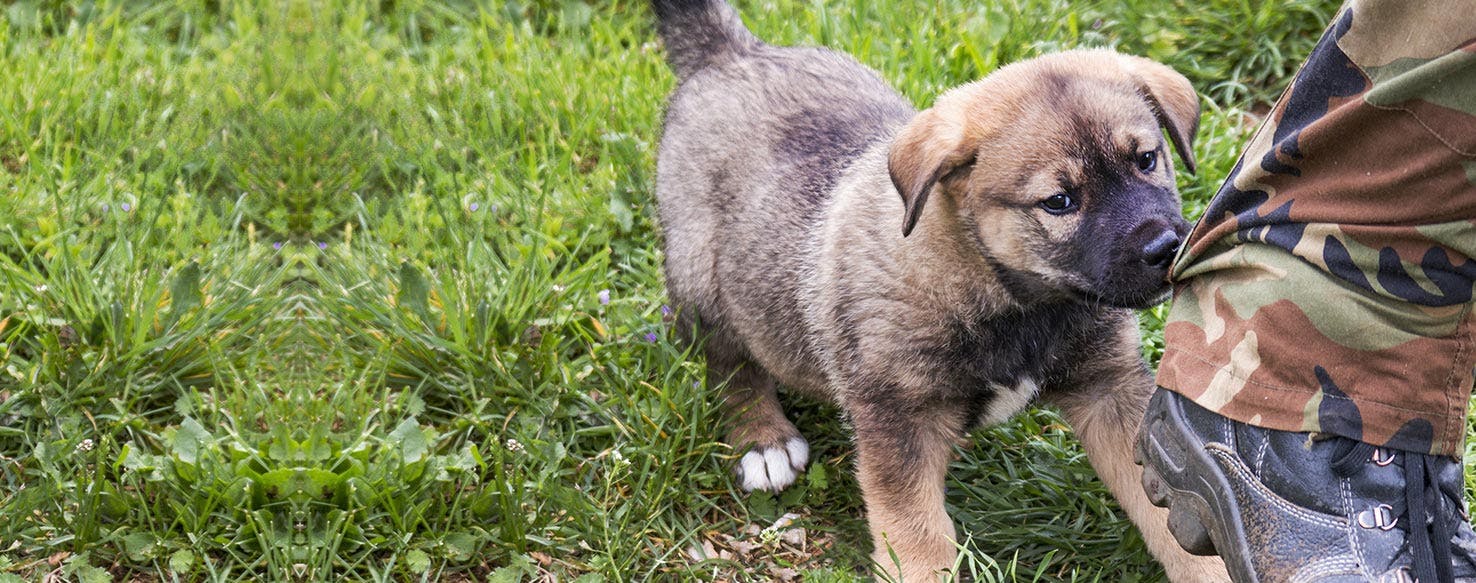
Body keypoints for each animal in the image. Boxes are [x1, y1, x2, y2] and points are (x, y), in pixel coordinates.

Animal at [655, 2, 1233, 581]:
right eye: (1059, 201)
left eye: (1146, 159)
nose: (1165, 247)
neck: (1011, 299)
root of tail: (733, 52)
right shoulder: (897, 422)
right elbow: (918, 536)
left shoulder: (1109, 390)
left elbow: (1168, 518)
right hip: (701, 278)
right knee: (729, 363)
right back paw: (762, 439)